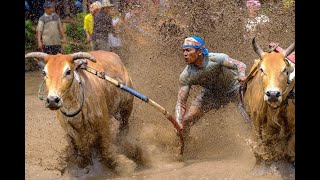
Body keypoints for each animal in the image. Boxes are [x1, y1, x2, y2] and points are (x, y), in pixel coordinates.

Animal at [242, 38, 296, 167]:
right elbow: (260, 146)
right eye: (262, 69)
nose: (272, 94)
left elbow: (289, 149)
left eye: (284, 70)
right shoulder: (256, 122)